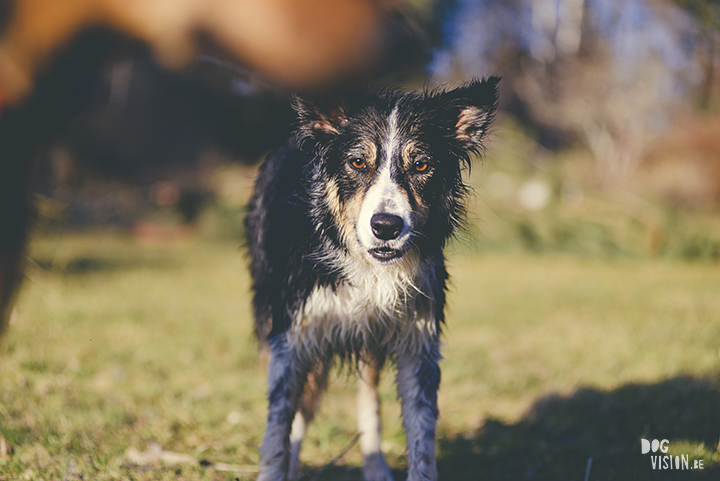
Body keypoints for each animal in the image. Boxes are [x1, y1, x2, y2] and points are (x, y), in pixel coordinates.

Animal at [245, 79, 498, 480]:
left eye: (422, 164)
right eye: (357, 162)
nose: (386, 226)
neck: (371, 271)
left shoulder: (418, 344)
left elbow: (422, 437)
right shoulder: (293, 337)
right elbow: (277, 429)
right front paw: (277, 468)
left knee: (368, 402)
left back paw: (375, 466)